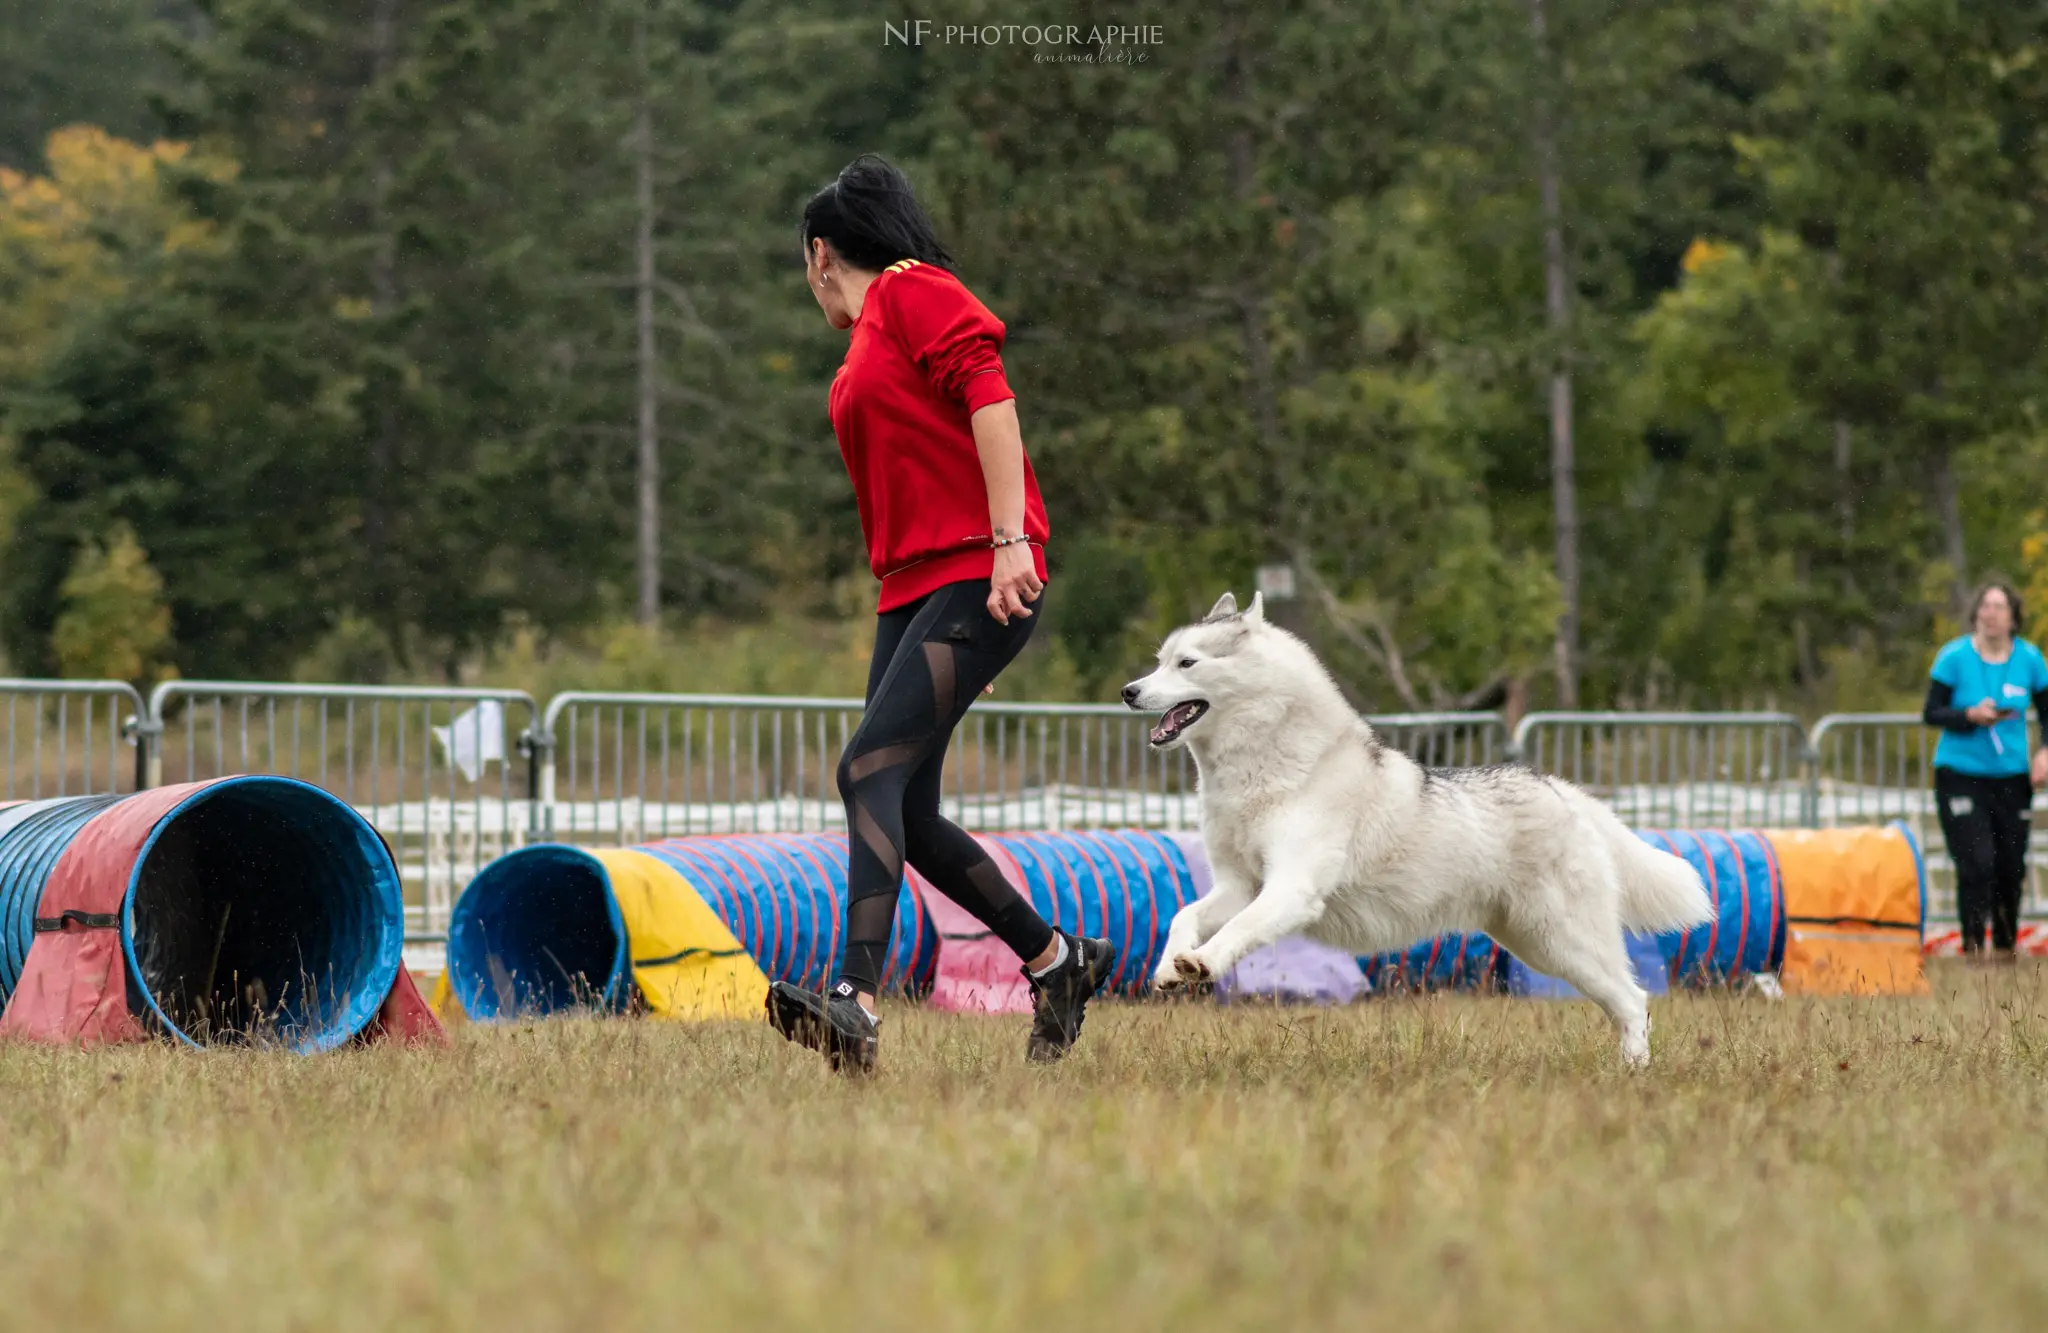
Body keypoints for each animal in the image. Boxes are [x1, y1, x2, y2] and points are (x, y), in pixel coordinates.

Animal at [1122, 589, 1712, 1072]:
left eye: (1187, 662)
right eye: (1157, 663)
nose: (1128, 690)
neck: (1271, 772)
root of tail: (1562, 790)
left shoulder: (1290, 890)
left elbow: (1236, 932)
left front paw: (1202, 963)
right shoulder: (1237, 886)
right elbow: (1184, 915)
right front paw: (1169, 967)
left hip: (1563, 942)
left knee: (1634, 1000)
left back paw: (1633, 1072)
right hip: (1534, 944)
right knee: (1625, 1001)